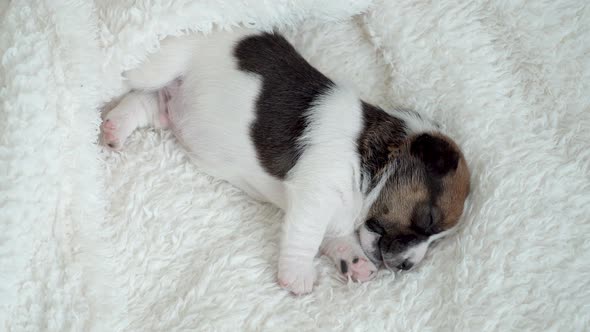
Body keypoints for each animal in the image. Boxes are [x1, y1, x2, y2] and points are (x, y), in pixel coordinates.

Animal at [102, 27, 472, 294]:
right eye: (427, 219)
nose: (408, 266)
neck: (372, 157)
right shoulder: (316, 194)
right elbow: (306, 236)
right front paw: (297, 274)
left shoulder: (329, 209)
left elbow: (335, 236)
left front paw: (352, 259)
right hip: (162, 62)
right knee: (131, 77)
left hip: (168, 103)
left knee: (144, 102)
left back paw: (115, 127)